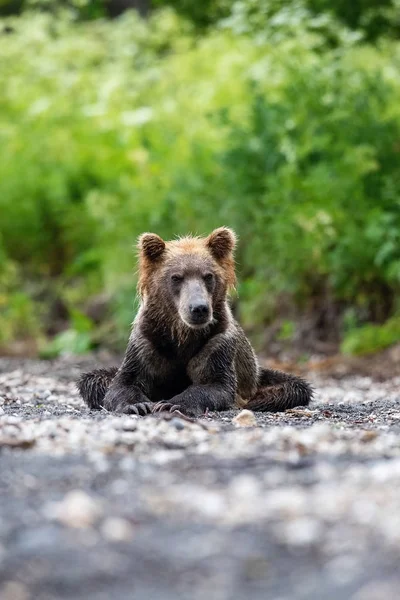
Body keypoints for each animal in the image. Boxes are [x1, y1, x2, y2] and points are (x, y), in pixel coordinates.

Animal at [77, 227, 312, 414]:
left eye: (208, 276)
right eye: (176, 277)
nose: (199, 308)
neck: (182, 334)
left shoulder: (217, 341)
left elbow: (214, 384)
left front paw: (173, 404)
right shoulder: (147, 340)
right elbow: (122, 383)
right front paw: (137, 405)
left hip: (254, 375)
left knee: (293, 388)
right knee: (94, 380)